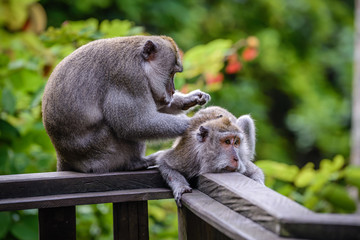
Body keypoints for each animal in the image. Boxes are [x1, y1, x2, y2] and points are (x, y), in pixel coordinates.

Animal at [42, 35, 211, 172]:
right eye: (171, 73)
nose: (173, 91)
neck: (141, 63)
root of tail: (63, 156)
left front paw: (190, 99)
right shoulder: (129, 79)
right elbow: (134, 123)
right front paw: (193, 124)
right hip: (101, 153)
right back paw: (135, 163)